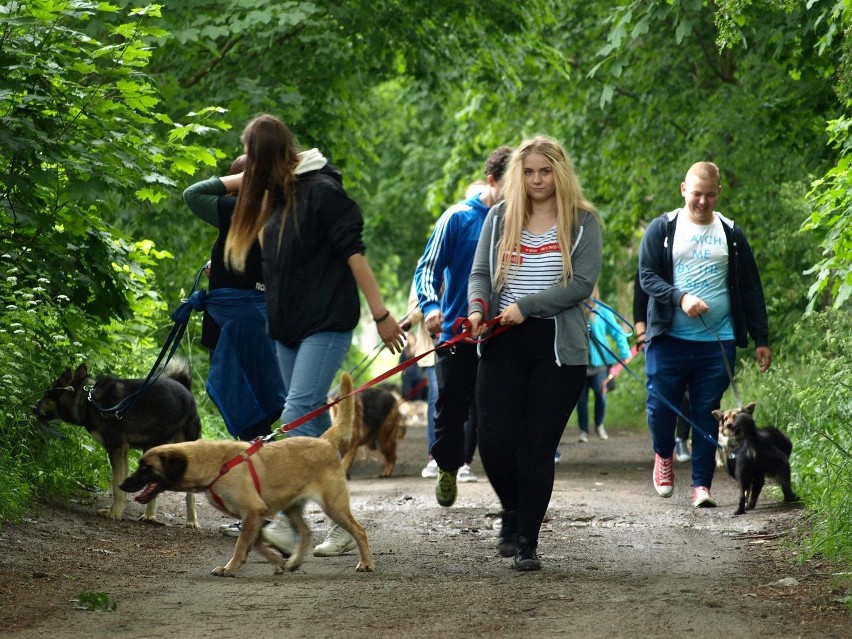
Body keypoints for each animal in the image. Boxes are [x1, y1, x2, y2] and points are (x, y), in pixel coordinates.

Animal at [35, 358, 201, 528]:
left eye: (46, 394)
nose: (33, 407)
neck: (88, 400)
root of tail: (185, 388)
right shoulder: (122, 452)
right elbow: (120, 485)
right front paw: (115, 510)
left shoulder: (117, 449)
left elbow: (117, 486)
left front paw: (114, 513)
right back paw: (150, 515)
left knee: (191, 493)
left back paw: (192, 520)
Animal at [120, 372, 372, 576]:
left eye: (146, 467)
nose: (123, 484)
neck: (217, 464)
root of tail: (325, 441)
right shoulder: (254, 518)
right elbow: (256, 544)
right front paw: (277, 562)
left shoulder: (253, 512)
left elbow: (241, 545)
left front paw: (230, 568)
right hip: (292, 507)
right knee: (306, 532)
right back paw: (294, 561)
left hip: (333, 505)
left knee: (359, 530)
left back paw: (366, 563)